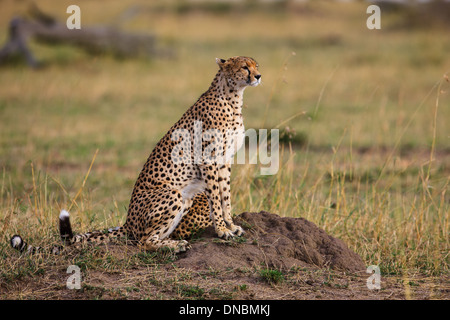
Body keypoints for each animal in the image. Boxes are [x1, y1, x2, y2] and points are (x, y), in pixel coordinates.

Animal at [9, 55, 260, 255]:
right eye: (244, 67)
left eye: (256, 65)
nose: (258, 76)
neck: (233, 97)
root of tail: (128, 222)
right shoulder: (209, 160)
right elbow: (216, 199)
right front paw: (222, 230)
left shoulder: (224, 161)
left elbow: (225, 196)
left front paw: (231, 226)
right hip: (174, 194)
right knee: (143, 241)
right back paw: (175, 246)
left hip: (185, 198)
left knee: (151, 236)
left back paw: (173, 242)